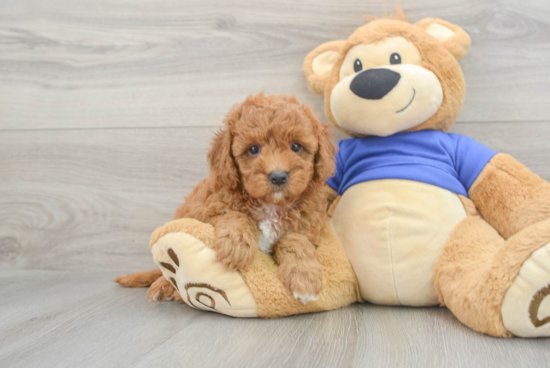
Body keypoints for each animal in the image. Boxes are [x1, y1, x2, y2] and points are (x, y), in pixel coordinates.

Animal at [117, 92, 336, 304]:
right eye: (254, 149)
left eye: (296, 147)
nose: (278, 176)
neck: (271, 205)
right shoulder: (208, 211)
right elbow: (235, 215)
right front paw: (235, 246)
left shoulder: (309, 228)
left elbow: (295, 240)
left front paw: (304, 279)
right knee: (169, 272)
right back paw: (163, 286)